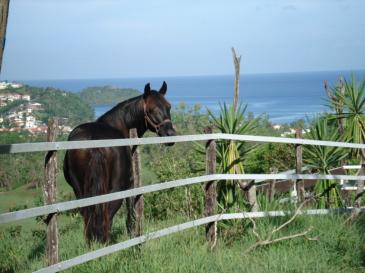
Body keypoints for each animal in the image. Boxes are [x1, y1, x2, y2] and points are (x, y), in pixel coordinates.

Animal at [63, 82, 176, 241]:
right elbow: (130, 217)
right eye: (151, 109)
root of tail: (95, 140)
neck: (120, 125)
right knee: (108, 216)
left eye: (168, 106)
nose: (170, 134)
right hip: (116, 190)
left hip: (80, 191)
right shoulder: (130, 185)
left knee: (89, 217)